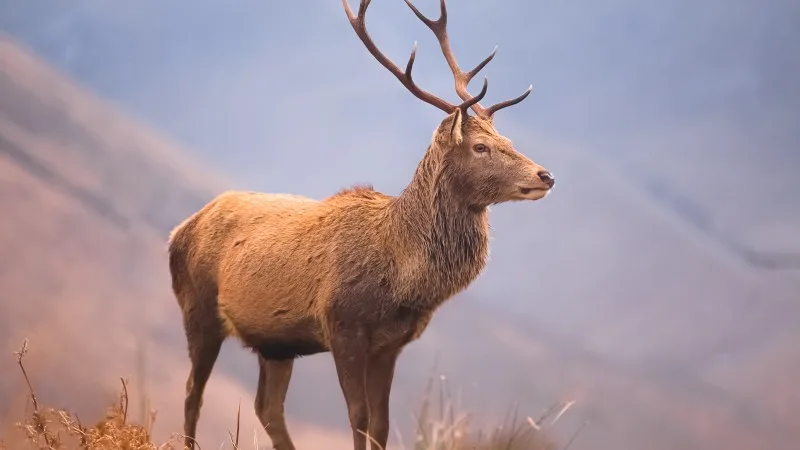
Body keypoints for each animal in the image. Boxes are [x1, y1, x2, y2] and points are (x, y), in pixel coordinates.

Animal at [167, 0, 555, 449]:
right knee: (192, 392)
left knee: (267, 407)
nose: (546, 175)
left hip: (275, 343)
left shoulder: (390, 345)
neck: (401, 280)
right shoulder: (342, 326)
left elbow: (381, 423)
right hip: (198, 309)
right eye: (480, 147)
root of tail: (181, 229)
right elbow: (358, 416)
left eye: (508, 140)